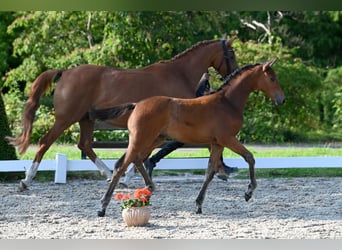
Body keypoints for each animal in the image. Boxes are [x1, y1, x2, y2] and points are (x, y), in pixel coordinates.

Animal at [7, 33, 238, 189]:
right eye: (232, 54)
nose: (234, 74)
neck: (179, 74)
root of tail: (66, 72)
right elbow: (148, 151)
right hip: (66, 118)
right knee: (45, 142)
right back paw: (26, 180)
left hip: (86, 119)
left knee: (85, 145)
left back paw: (110, 174)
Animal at [89, 59, 284, 217]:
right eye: (272, 78)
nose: (281, 99)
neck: (227, 102)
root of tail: (137, 104)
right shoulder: (227, 139)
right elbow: (249, 157)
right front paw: (249, 192)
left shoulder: (217, 143)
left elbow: (210, 172)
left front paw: (198, 205)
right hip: (141, 139)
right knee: (122, 165)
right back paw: (103, 207)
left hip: (154, 139)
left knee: (135, 160)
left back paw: (150, 187)